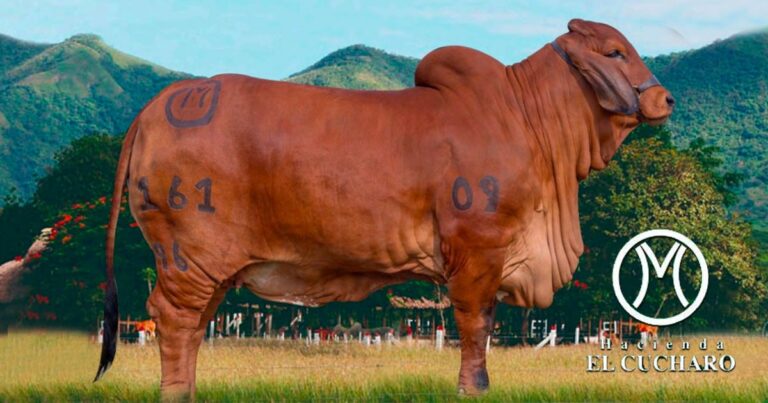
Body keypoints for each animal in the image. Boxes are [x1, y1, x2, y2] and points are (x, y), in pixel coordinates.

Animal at [94, 19, 673, 398]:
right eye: (614, 52)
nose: (664, 98)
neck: (531, 122)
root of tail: (155, 107)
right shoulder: (477, 251)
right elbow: (476, 325)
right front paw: (474, 388)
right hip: (187, 255)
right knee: (173, 320)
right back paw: (176, 392)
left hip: (212, 267)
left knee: (193, 326)